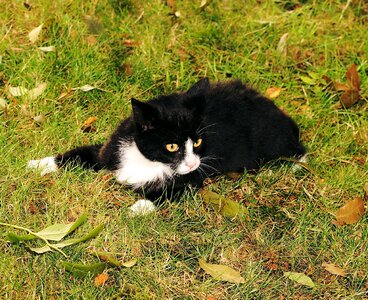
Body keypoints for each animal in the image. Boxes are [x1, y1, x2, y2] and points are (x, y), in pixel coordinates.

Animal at [28, 78, 304, 213]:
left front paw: (136, 209)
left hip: (273, 141)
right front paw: (38, 164)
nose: (192, 163)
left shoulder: (191, 181)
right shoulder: (109, 150)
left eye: (198, 142)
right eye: (172, 146)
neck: (147, 160)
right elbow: (78, 154)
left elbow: (163, 194)